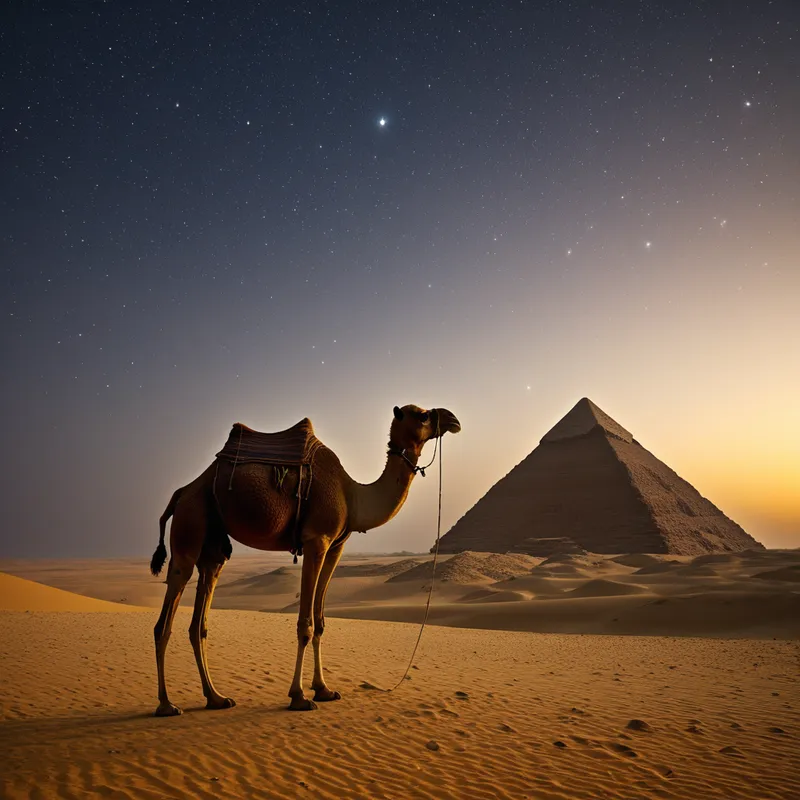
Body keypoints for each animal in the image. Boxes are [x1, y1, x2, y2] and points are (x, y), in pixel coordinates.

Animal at [150, 403, 460, 715]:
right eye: (423, 415)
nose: (453, 418)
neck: (352, 494)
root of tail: (182, 492)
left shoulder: (336, 547)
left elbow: (320, 621)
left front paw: (324, 689)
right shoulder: (316, 541)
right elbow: (305, 624)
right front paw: (299, 696)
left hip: (213, 544)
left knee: (198, 622)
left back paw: (216, 698)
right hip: (190, 524)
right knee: (164, 620)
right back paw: (166, 704)